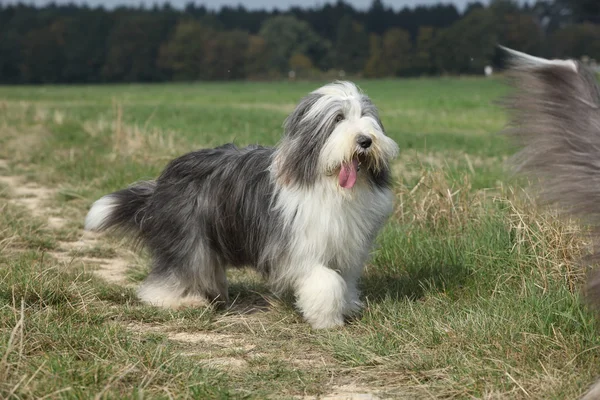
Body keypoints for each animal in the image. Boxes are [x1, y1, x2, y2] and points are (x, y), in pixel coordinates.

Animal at [81, 80, 398, 328]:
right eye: (338, 118)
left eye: (366, 116)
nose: (365, 141)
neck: (329, 184)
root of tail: (161, 182)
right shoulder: (301, 247)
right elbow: (325, 282)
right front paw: (327, 321)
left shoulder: (345, 246)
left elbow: (344, 280)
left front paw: (347, 307)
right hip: (187, 236)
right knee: (170, 274)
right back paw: (179, 301)